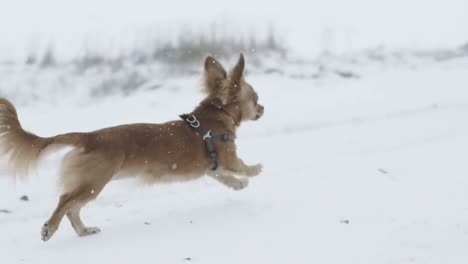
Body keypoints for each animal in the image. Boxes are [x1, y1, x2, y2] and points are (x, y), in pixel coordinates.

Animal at [0, 54, 264, 241]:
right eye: (256, 97)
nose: (263, 108)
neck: (216, 115)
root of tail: (89, 137)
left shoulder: (213, 167)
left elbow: (226, 178)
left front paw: (240, 184)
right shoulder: (227, 157)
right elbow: (241, 166)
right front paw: (255, 170)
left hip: (91, 183)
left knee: (72, 208)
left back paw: (84, 231)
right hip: (94, 182)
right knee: (65, 202)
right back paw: (49, 228)